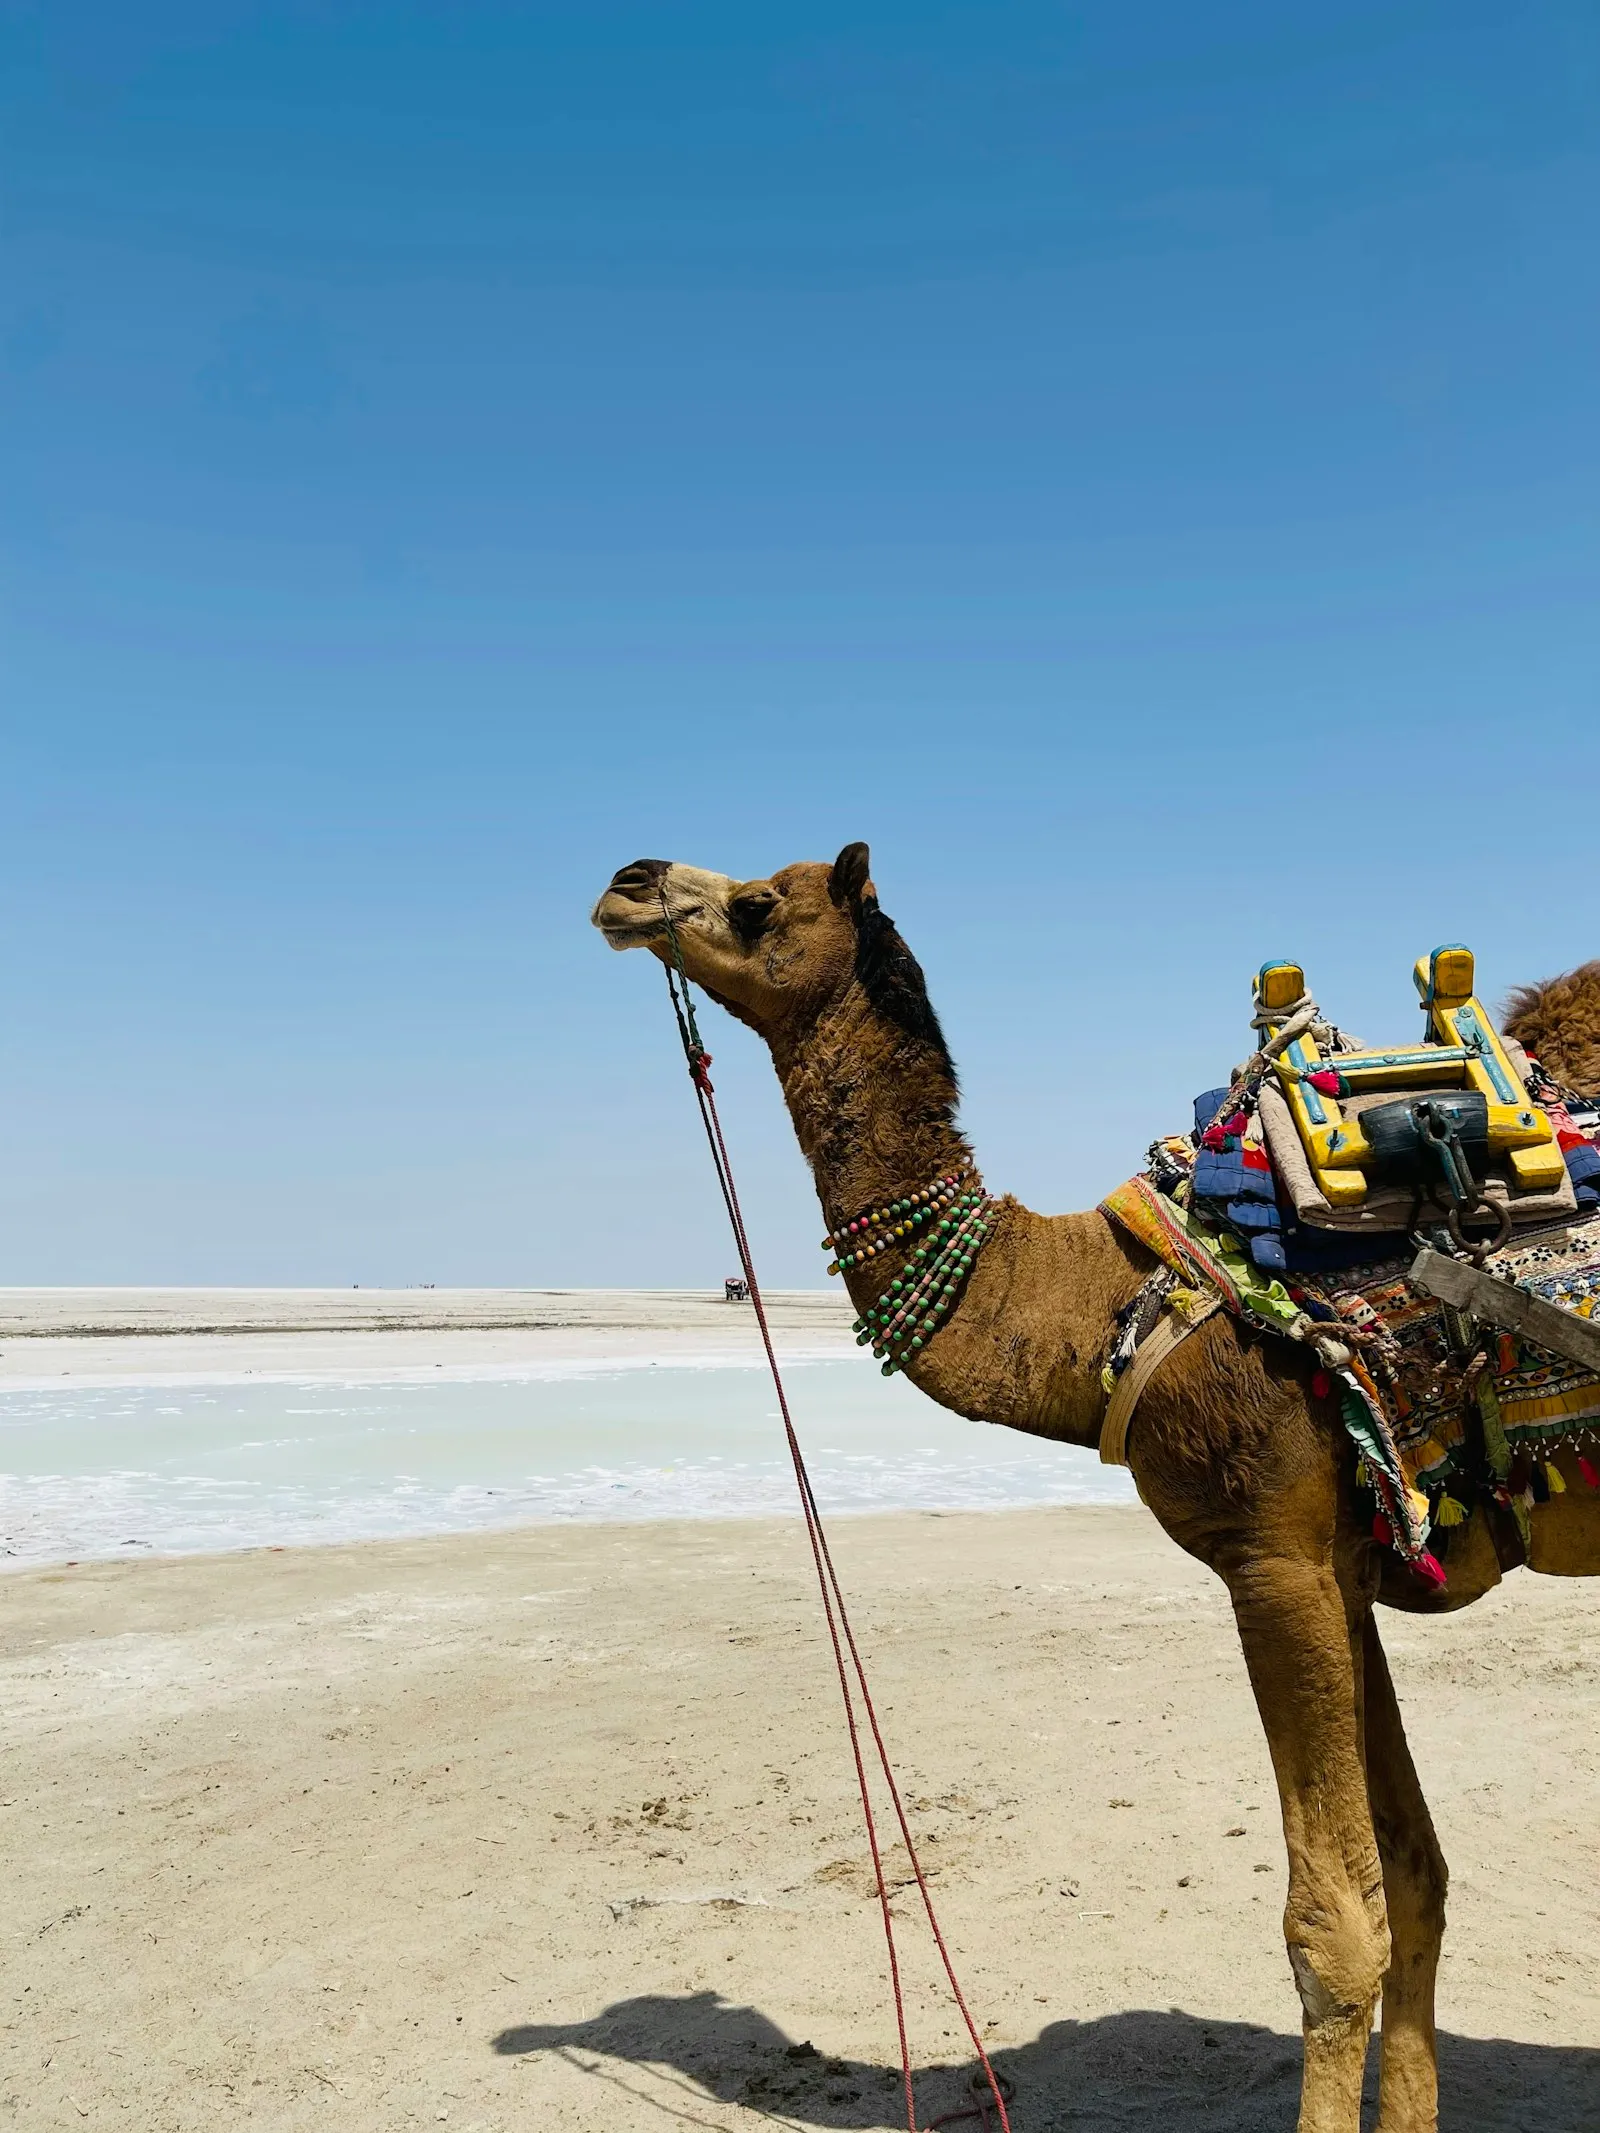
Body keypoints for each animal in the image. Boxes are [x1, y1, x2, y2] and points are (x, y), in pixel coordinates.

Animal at [592, 847, 1600, 2133]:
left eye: (761, 900)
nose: (627, 883)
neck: (1100, 1307)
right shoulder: (1344, 1559)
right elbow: (1410, 1875)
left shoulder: (1268, 1554)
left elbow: (1329, 1932)